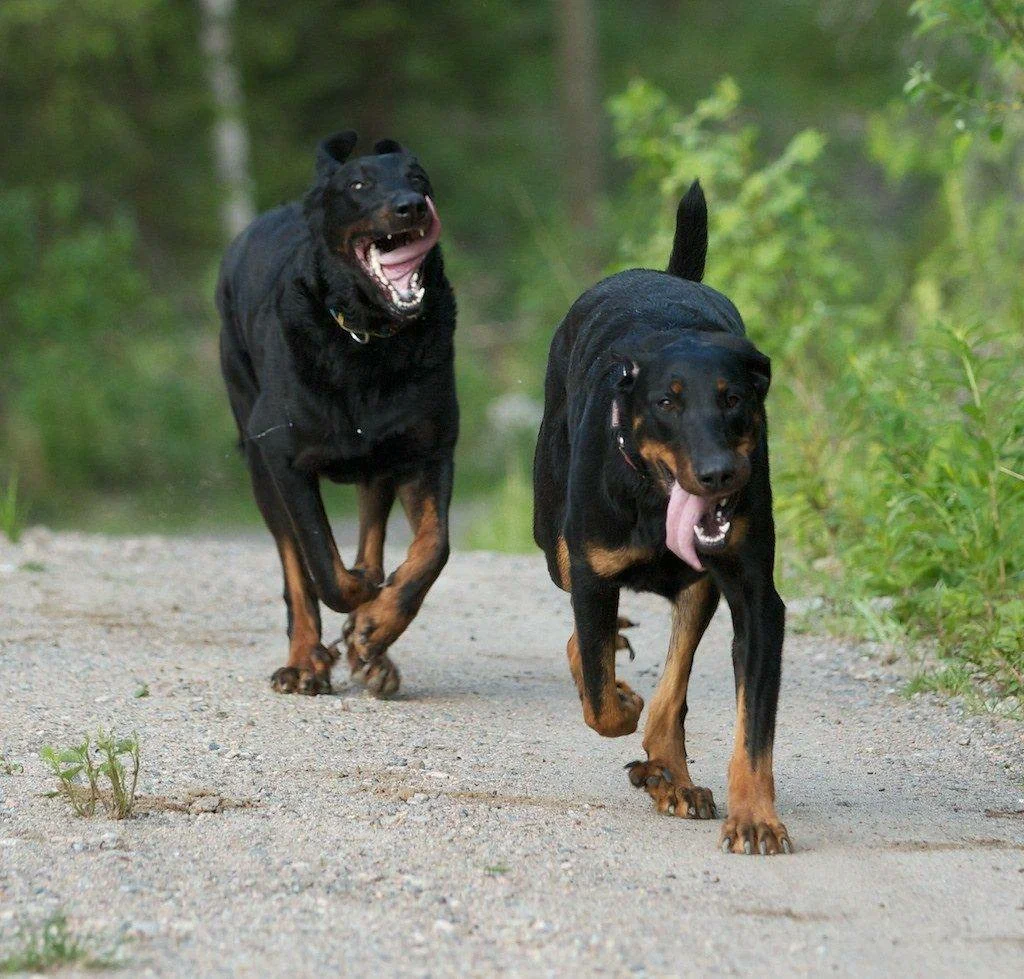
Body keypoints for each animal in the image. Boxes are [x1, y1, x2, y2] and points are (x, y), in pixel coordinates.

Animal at [218, 132, 454, 696]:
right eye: (359, 185)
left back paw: (375, 651)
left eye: (418, 178)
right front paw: (359, 615)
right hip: (257, 458)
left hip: (379, 462)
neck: (366, 338)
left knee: (371, 535)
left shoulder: (427, 449)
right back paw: (304, 660)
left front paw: (376, 626)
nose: (410, 206)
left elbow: (433, 548)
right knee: (296, 568)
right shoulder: (284, 459)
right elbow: (321, 565)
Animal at [532, 183, 786, 856]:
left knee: (673, 686)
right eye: (667, 402)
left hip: (698, 586)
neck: (651, 499)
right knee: (587, 640)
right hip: (555, 540)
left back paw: (671, 775)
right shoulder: (591, 571)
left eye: (734, 398)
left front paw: (754, 818)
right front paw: (620, 700)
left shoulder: (756, 600)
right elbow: (600, 698)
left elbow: (750, 728)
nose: (719, 473)